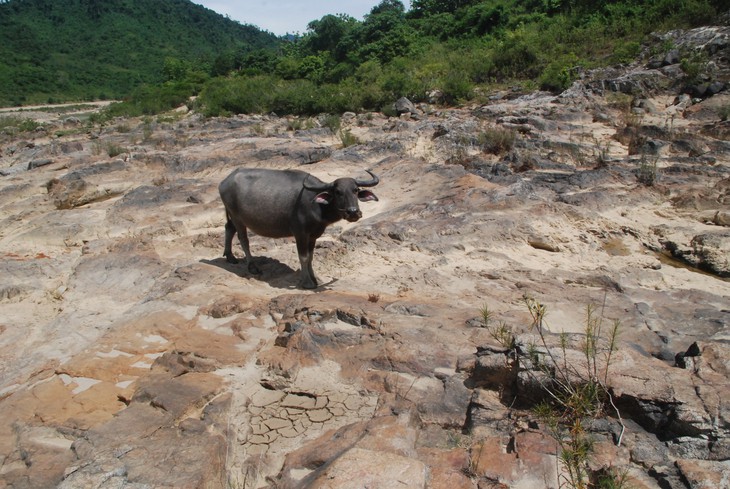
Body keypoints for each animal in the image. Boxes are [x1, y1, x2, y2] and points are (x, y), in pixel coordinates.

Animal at [218, 170, 378, 288]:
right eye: (338, 191)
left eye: (355, 190)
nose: (353, 212)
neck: (316, 204)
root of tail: (224, 182)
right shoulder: (300, 234)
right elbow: (304, 257)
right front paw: (307, 282)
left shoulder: (313, 235)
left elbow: (311, 257)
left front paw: (315, 279)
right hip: (237, 217)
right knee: (243, 239)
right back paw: (252, 267)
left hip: (232, 216)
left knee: (229, 228)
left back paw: (230, 257)